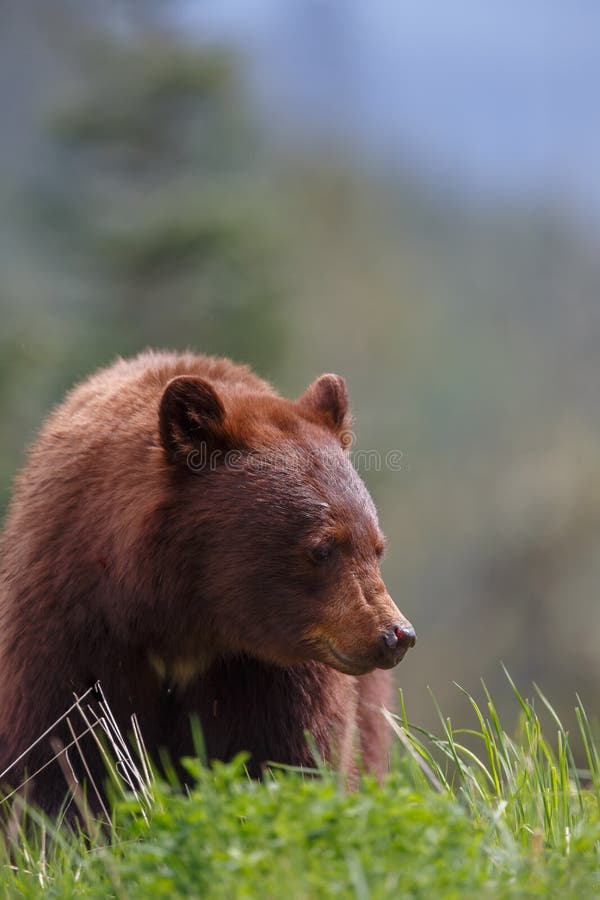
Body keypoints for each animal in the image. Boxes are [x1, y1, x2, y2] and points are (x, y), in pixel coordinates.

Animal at [0, 350, 415, 819]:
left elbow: (291, 755)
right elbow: (64, 749)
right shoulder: (71, 626)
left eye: (376, 547)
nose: (395, 634)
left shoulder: (265, 672)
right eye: (323, 548)